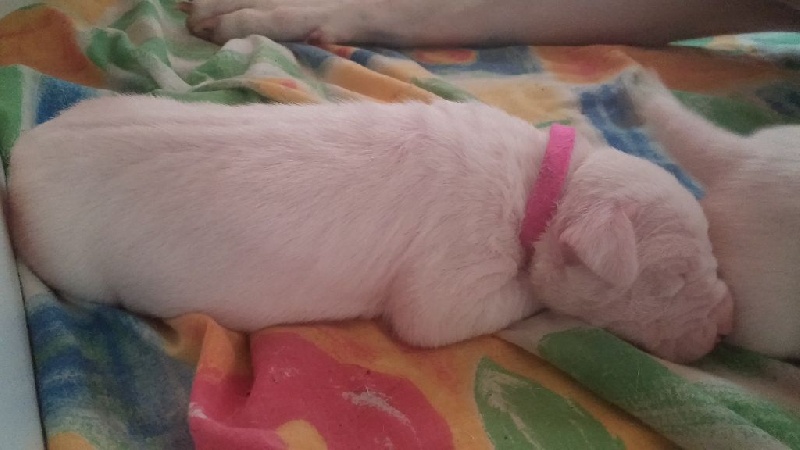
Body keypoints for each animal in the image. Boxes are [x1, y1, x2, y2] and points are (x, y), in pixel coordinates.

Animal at [7, 96, 732, 363]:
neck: (543, 188)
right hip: (69, 258)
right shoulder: (450, 283)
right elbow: (457, 313)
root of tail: (21, 155)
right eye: (672, 279)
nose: (727, 327)